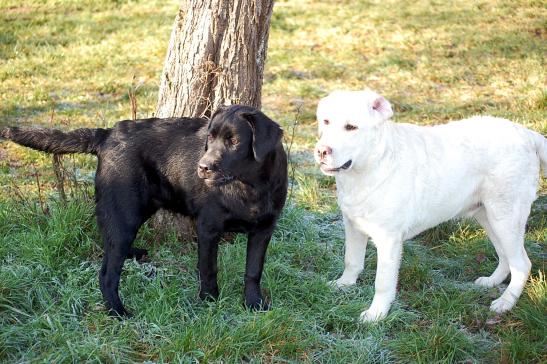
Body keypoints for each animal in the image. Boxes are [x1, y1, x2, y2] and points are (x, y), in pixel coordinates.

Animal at [0, 104, 288, 316]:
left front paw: (254, 304)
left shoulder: (264, 229)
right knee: (107, 272)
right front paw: (209, 304)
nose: (202, 167)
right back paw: (118, 312)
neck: (249, 186)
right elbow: (208, 270)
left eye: (234, 141)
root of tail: (107, 134)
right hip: (125, 214)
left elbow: (253, 271)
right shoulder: (208, 228)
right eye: (210, 138)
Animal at [314, 90, 547, 322]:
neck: (371, 165)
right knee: (506, 256)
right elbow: (351, 260)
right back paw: (491, 282)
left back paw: (505, 303)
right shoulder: (352, 225)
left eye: (351, 127)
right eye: (326, 121)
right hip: (489, 216)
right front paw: (343, 285)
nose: (321, 151)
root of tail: (527, 134)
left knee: (522, 264)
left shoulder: (388, 239)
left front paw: (376, 314)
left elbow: (382, 282)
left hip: (506, 217)